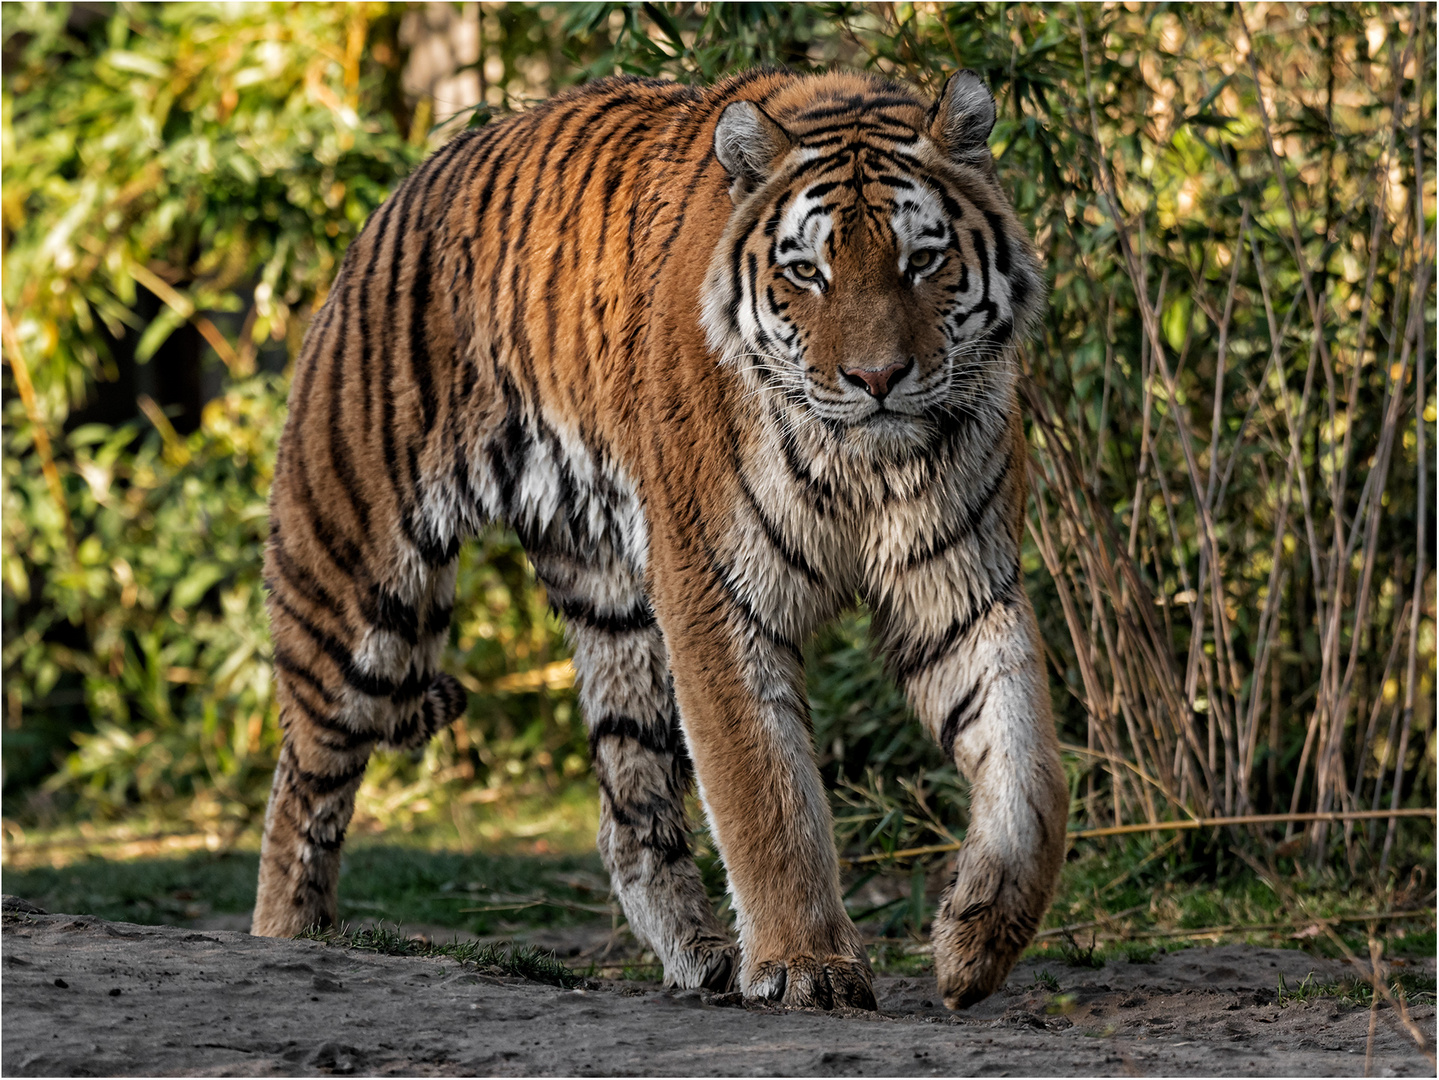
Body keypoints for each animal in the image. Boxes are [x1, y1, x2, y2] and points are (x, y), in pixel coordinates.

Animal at [253, 69, 1070, 1012]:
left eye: (922, 261)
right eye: (807, 272)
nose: (876, 380)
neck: (865, 464)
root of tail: (407, 186)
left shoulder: (964, 586)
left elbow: (1030, 772)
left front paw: (975, 939)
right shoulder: (714, 592)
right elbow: (764, 791)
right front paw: (807, 965)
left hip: (614, 609)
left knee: (625, 813)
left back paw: (700, 953)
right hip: (358, 599)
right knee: (300, 788)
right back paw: (288, 940)